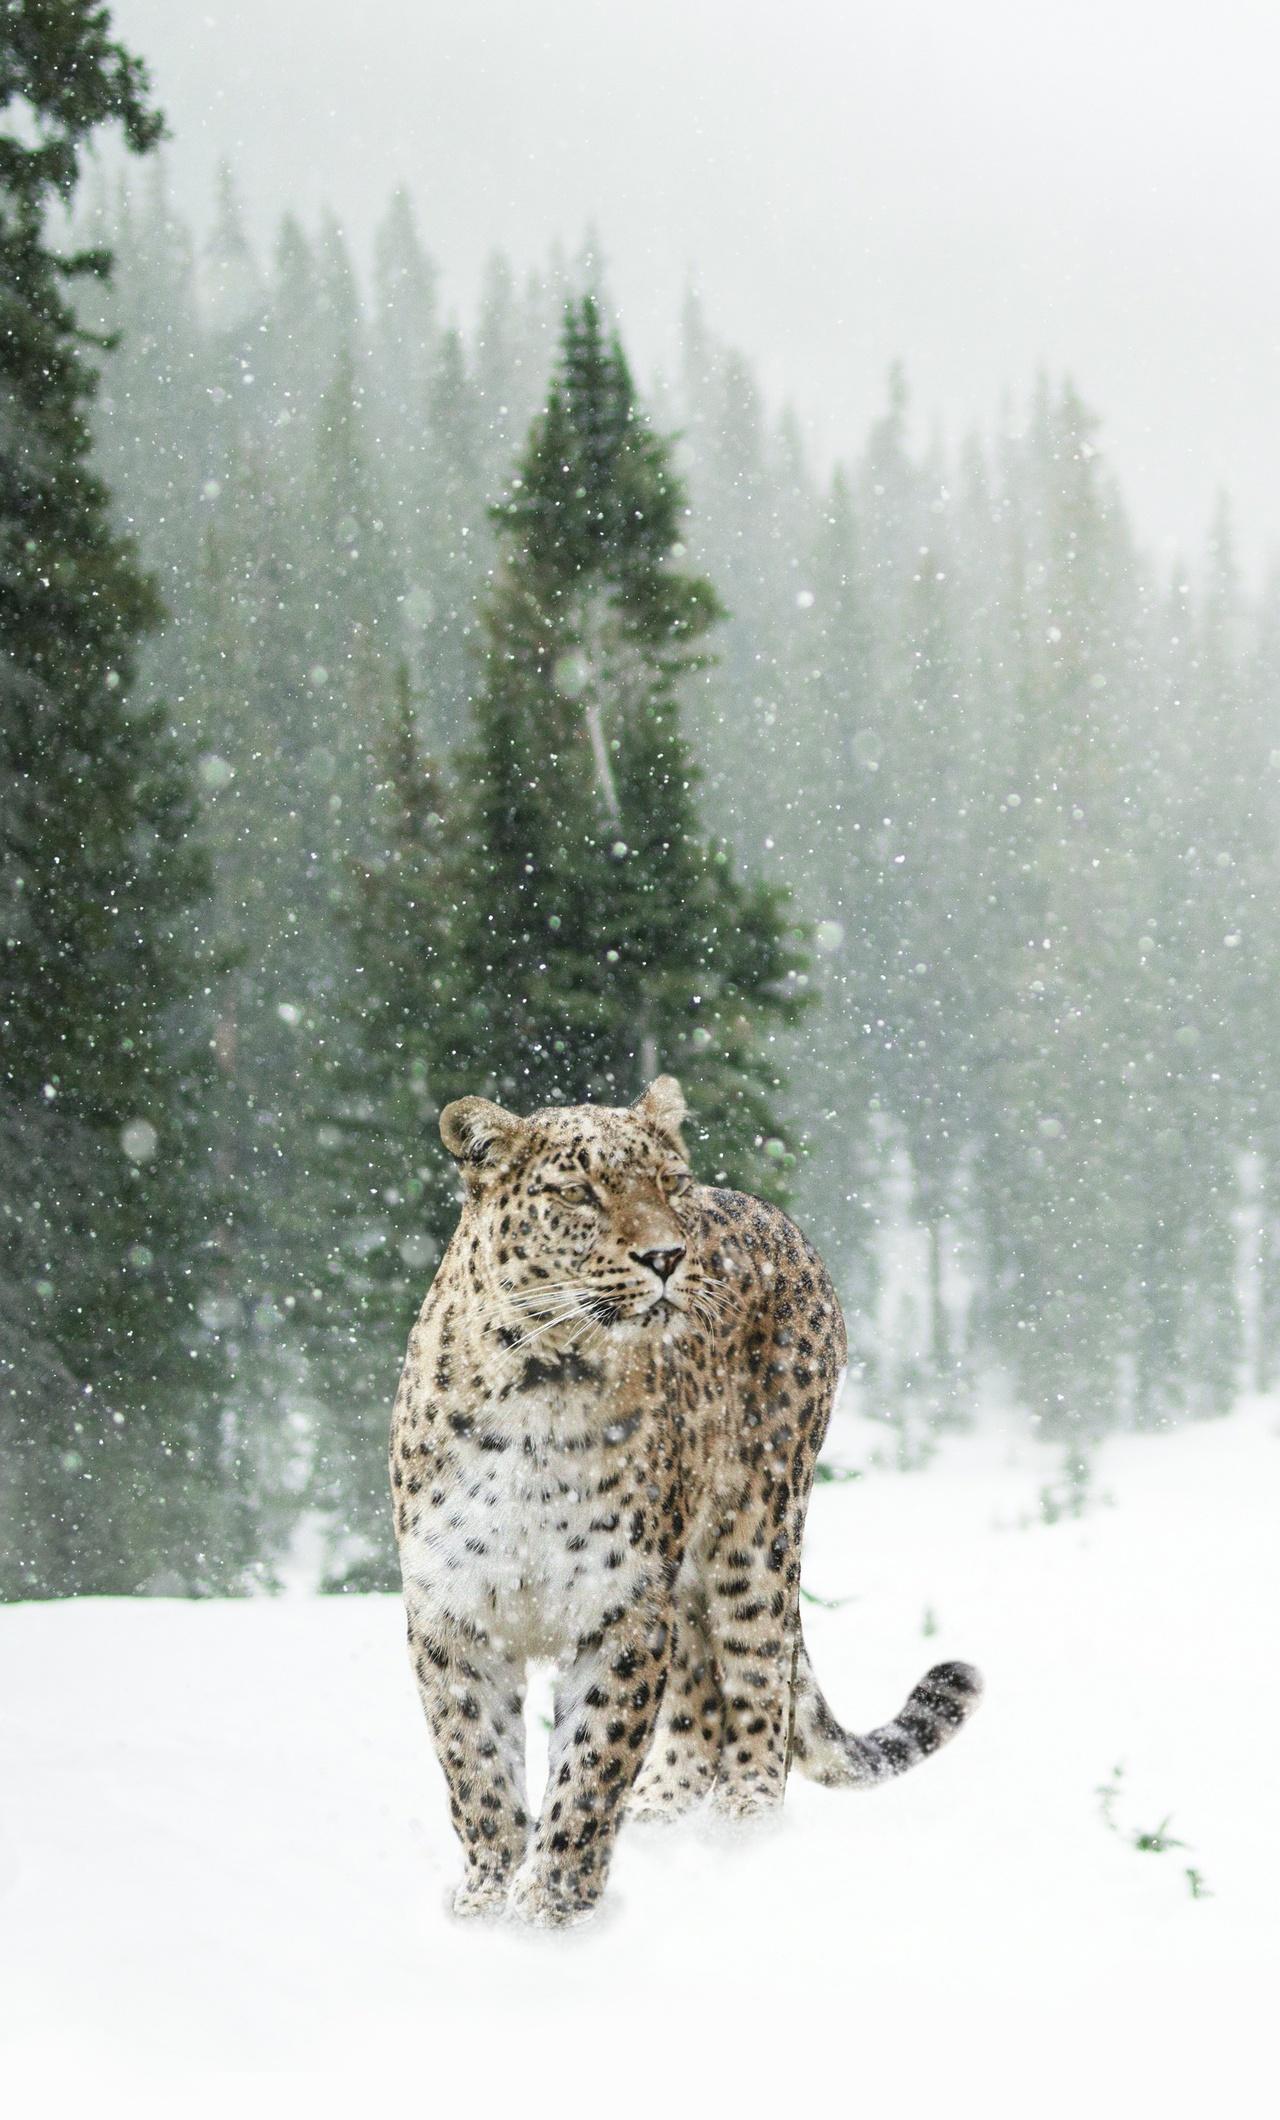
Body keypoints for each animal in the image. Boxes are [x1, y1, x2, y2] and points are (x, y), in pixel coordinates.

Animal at [390, 1075, 982, 1927]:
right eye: (578, 1193)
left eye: (668, 1184)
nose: (667, 1256)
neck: (543, 1386)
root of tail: (774, 1215)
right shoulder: (454, 1610)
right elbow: (477, 1767)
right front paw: (486, 1900)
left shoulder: (623, 1607)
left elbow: (591, 1765)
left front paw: (551, 1909)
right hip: (694, 1576)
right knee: (702, 1692)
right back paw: (664, 1818)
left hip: (756, 1531)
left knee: (758, 1680)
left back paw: (741, 1832)